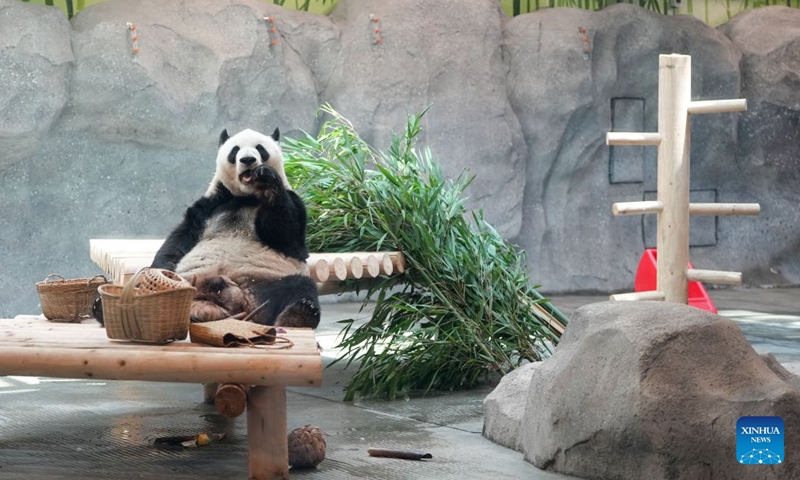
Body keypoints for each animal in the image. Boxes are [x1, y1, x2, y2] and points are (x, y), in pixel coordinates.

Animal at [149, 127, 320, 329]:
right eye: (235, 150)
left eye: (260, 148)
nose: (247, 159)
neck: (246, 197)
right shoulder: (209, 206)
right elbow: (180, 238)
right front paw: (163, 271)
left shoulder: (293, 201)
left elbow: (288, 237)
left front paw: (266, 178)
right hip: (192, 281)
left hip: (264, 286)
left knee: (300, 286)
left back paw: (299, 314)